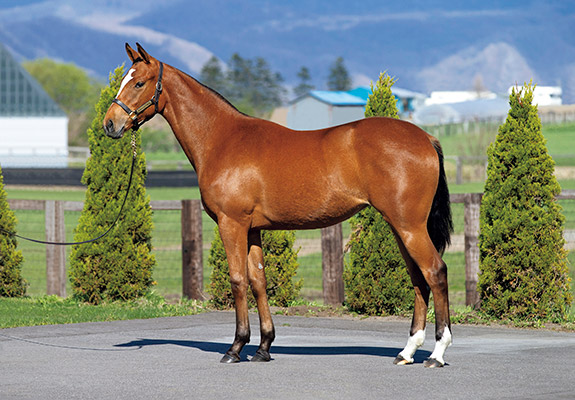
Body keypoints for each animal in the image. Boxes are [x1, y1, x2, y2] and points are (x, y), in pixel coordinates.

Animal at [104, 43, 454, 368]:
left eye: (139, 83)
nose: (110, 124)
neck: (222, 139)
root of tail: (426, 138)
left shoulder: (231, 223)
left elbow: (238, 280)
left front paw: (235, 348)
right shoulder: (253, 229)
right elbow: (259, 281)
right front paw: (263, 348)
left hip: (409, 226)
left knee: (435, 272)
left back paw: (437, 353)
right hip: (400, 227)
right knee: (418, 278)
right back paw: (407, 352)